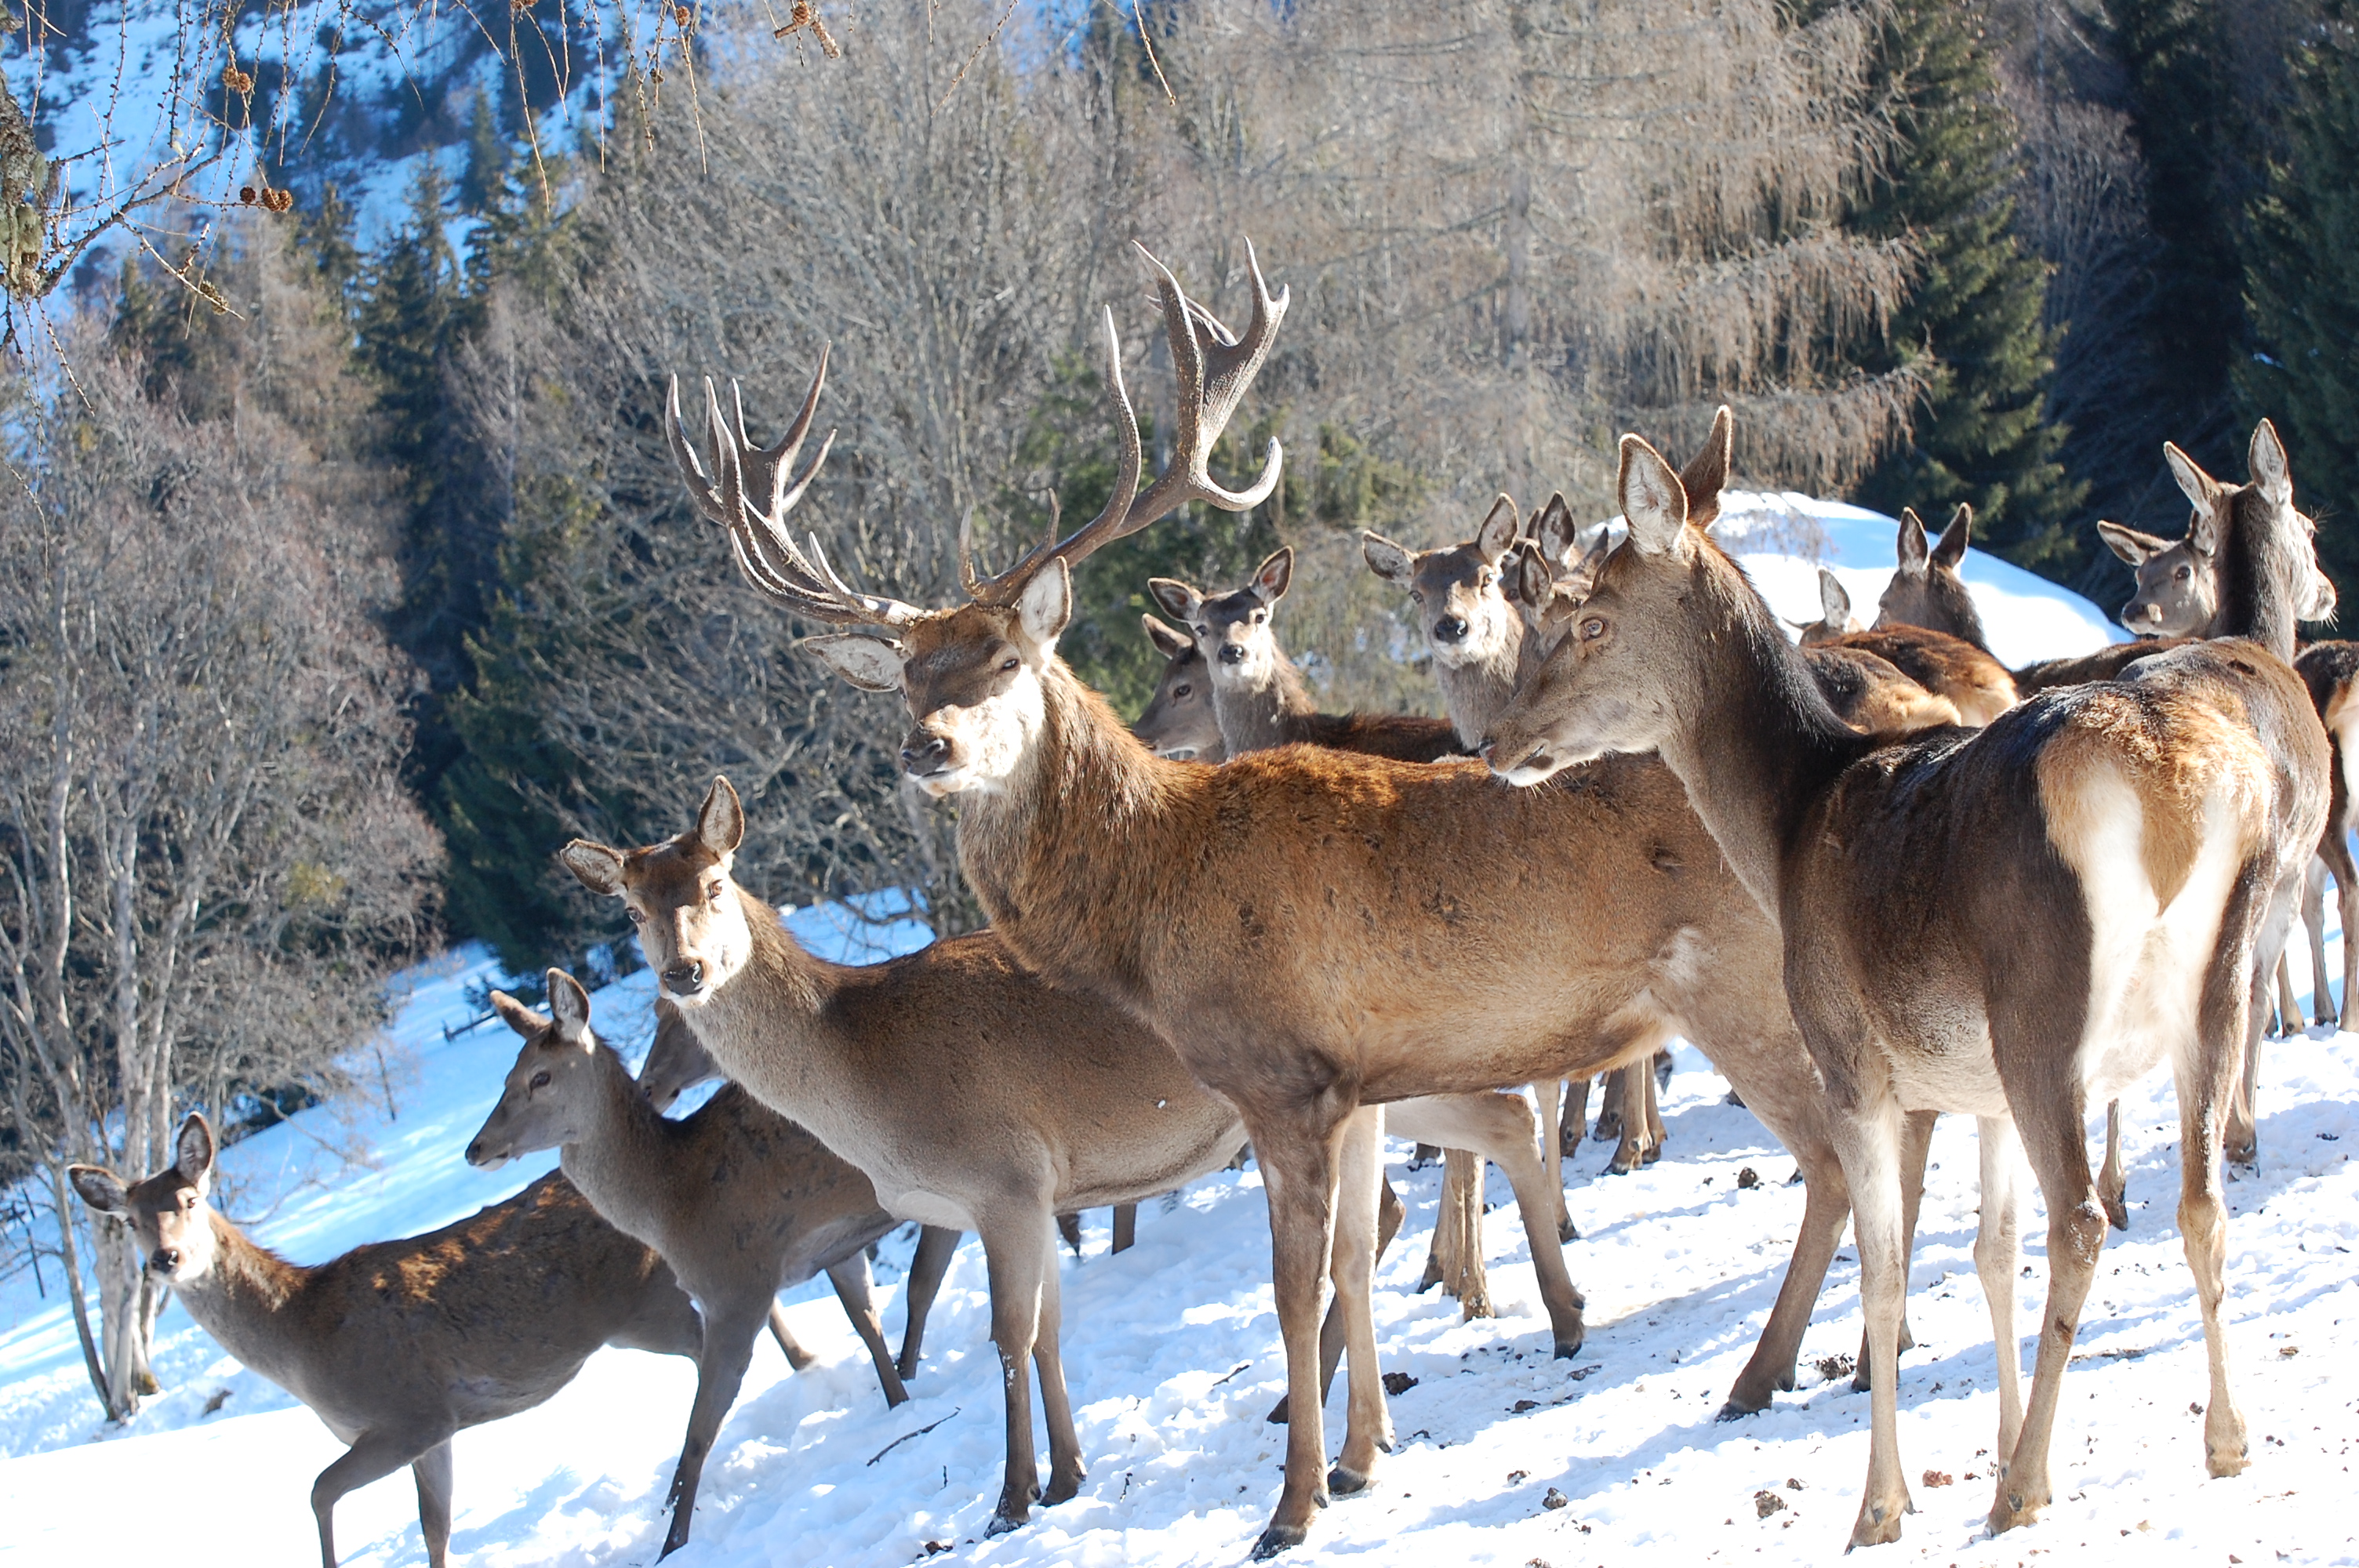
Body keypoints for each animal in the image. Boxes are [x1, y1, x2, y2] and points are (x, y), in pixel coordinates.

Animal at [68, 1112, 703, 1565]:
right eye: (130, 1221)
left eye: (190, 1200)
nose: (165, 1259)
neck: (303, 1338)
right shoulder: (439, 1425)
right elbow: (435, 1528)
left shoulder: (407, 1412)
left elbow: (319, 1490)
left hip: (642, 1304)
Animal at [455, 981, 934, 1555]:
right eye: (506, 1076)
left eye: (540, 1077)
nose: (475, 1148)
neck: (674, 1203)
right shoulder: (833, 1249)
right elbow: (869, 1328)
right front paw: (901, 1406)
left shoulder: (738, 1287)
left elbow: (699, 1430)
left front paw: (673, 1543)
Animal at [558, 778, 1576, 1537]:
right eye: (633, 908)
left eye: (714, 882)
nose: (684, 970)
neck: (868, 1085)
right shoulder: (1038, 1193)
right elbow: (1048, 1327)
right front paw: (1067, 1474)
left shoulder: (1001, 1177)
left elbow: (1006, 1334)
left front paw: (1008, 1497)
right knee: (1459, 1149)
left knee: (1502, 1115)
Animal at [674, 245, 1943, 1555]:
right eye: (907, 677)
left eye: (1007, 661)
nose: (925, 747)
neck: (1153, 896)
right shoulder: (1357, 1083)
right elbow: (1351, 1260)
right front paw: (1363, 1457)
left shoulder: (1279, 1076)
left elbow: (1294, 1289)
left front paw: (1289, 1506)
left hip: (1745, 985)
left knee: (1846, 1160)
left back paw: (1775, 1371)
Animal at [1481, 424, 2330, 1537]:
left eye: (1588, 617)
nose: (1494, 741)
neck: (1785, 828)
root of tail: (2182, 792)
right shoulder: (1976, 1092)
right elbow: (1986, 1253)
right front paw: (2007, 1444)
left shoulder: (1853, 1063)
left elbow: (1885, 1274)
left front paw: (1883, 1503)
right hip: (2216, 986)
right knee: (2198, 1200)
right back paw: (2223, 1441)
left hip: (2043, 1013)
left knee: (2081, 1220)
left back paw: (2020, 1490)